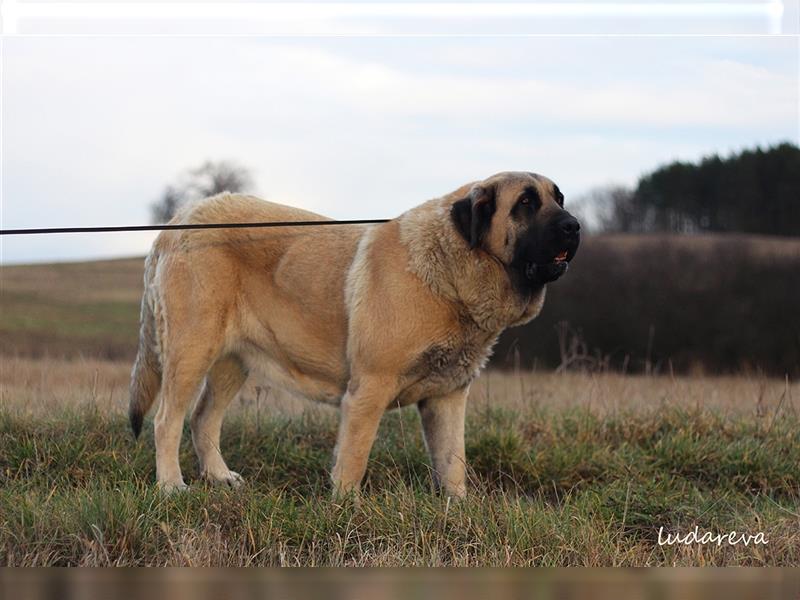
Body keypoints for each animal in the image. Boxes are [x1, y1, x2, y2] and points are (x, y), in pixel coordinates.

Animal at [131, 172, 580, 496]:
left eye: (559, 199)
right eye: (525, 203)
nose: (574, 225)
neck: (450, 272)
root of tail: (178, 221)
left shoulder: (448, 396)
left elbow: (453, 463)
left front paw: (458, 511)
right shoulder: (369, 391)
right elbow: (354, 459)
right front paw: (345, 508)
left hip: (232, 362)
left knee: (203, 419)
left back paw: (220, 478)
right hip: (192, 350)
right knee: (168, 420)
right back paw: (172, 486)